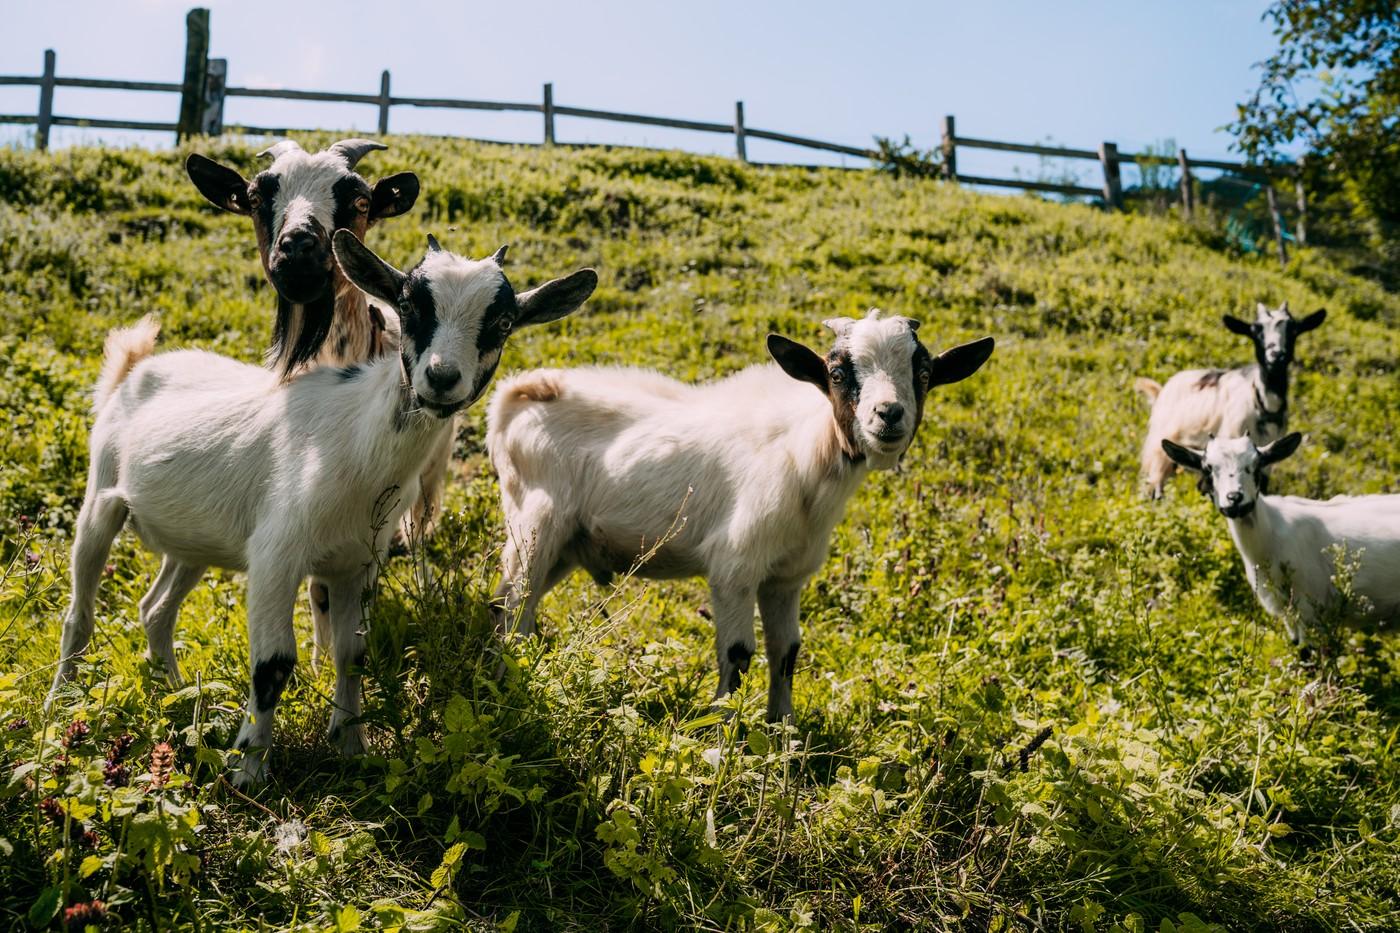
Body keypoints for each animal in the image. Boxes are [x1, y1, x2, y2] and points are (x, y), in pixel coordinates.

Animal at [47, 232, 596, 784]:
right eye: (408, 305)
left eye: (502, 322)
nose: (442, 378)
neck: (357, 447)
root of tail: (136, 367)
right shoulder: (275, 555)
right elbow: (273, 664)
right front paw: (249, 769)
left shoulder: (357, 563)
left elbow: (352, 652)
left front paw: (351, 747)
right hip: (101, 493)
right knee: (79, 614)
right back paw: (61, 704)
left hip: (192, 540)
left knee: (155, 609)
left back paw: (175, 692)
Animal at [487, 308, 991, 722]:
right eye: (836, 373)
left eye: (923, 372)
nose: (889, 415)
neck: (806, 452)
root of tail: (516, 393)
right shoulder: (735, 567)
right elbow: (738, 653)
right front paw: (723, 736)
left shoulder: (786, 577)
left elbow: (786, 651)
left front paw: (783, 733)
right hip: (536, 523)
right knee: (517, 606)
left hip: (566, 545)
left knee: (505, 600)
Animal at [1136, 301, 1321, 498]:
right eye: (1256, 331)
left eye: (1294, 330)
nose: (1276, 356)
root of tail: (1162, 389)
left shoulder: (1264, 460)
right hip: (1159, 446)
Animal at [1159, 431, 1400, 644]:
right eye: (1208, 468)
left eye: (1256, 465)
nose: (1235, 499)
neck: (1271, 536)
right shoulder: (1286, 612)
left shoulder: (1310, 604)